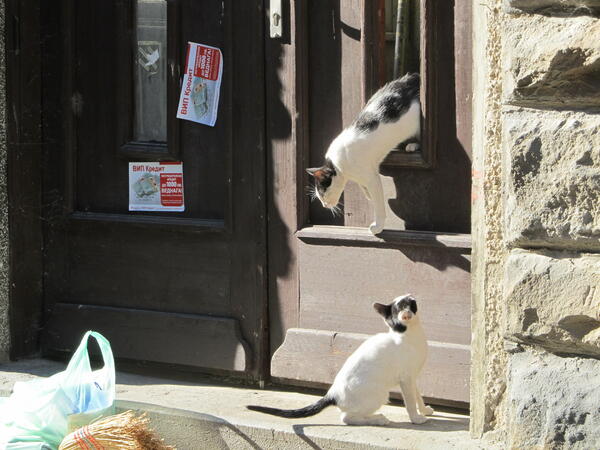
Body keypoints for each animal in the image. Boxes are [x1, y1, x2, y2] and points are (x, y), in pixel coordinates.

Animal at [246, 296, 434, 426]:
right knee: (347, 418)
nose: (411, 299)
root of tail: (332, 393)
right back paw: (378, 419)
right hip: (380, 395)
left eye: (411, 301)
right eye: (404, 305)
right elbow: (410, 401)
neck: (406, 335)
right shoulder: (406, 378)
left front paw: (424, 410)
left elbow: (418, 396)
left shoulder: (413, 377)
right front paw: (416, 418)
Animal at [308, 72, 420, 234]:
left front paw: (378, 226)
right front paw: (368, 195)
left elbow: (378, 203)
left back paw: (413, 145)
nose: (324, 205)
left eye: (322, 193)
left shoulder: (372, 177)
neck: (339, 166)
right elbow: (365, 190)